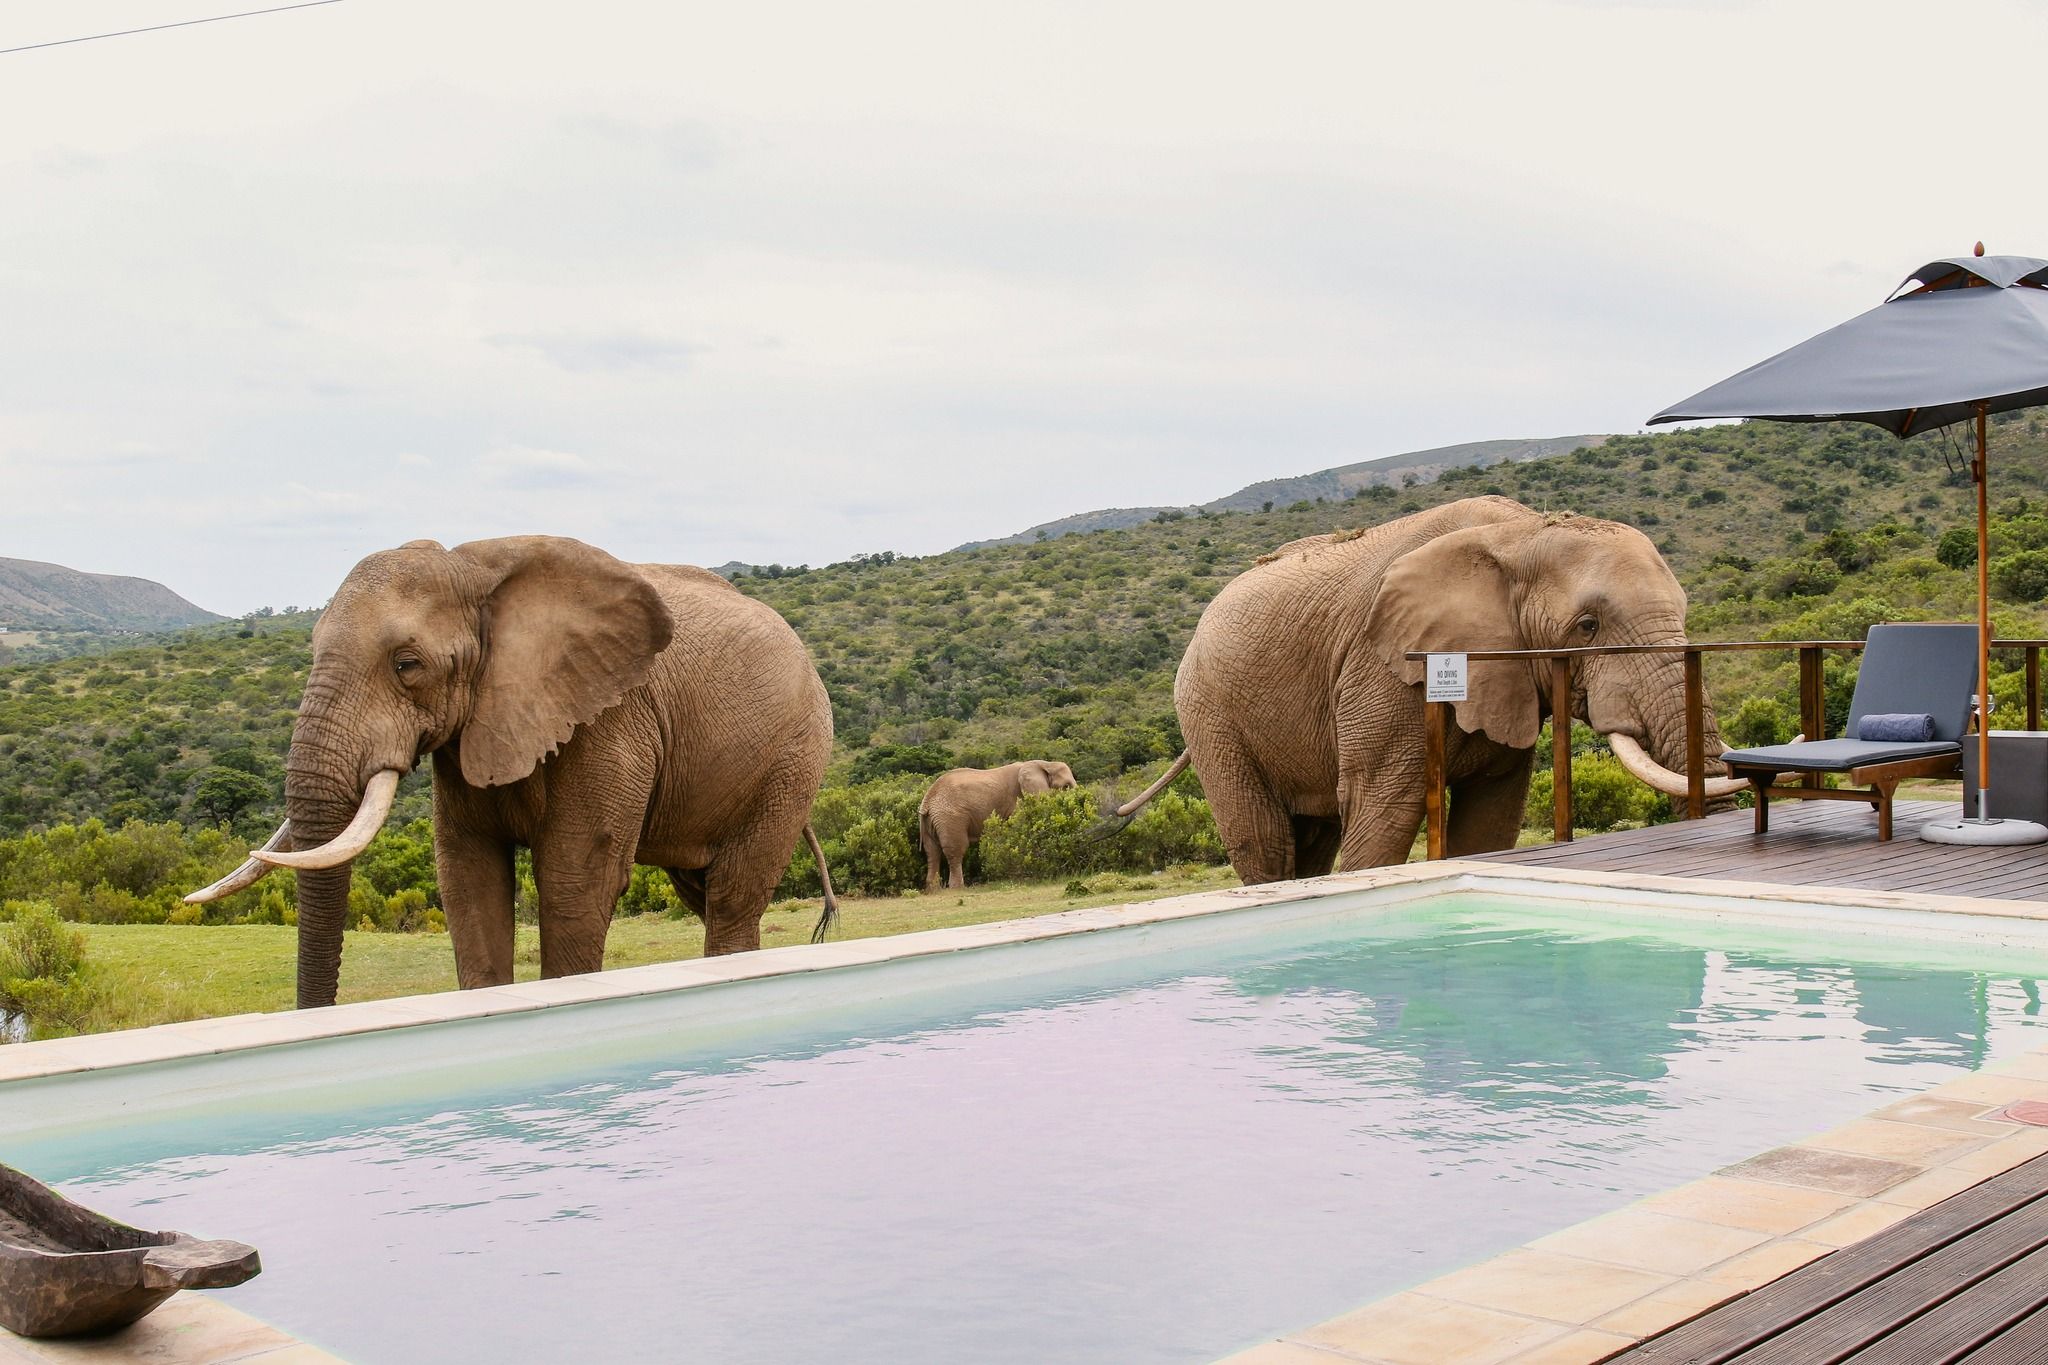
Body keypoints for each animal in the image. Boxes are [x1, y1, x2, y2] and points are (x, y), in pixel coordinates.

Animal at [185, 535, 838, 1008]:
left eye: (407, 665)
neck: (475, 570)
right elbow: (467, 876)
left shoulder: (608, 719)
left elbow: (576, 877)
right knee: (703, 891)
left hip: (793, 756)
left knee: (731, 895)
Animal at [918, 760, 1078, 890]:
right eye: (1066, 786)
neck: (1045, 764)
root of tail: (928, 800)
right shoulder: (1018, 800)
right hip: (950, 818)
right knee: (956, 850)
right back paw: (957, 888)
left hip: (931, 821)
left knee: (932, 852)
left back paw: (934, 890)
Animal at [1114, 497, 1741, 882]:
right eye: (1588, 627)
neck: (1518, 533)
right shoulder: (1384, 668)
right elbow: (1383, 813)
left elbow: (1491, 818)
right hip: (1210, 712)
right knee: (1264, 841)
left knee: (1311, 838)